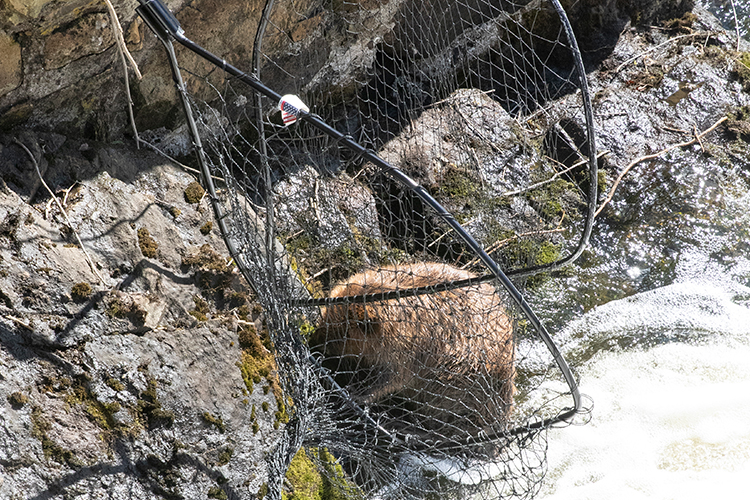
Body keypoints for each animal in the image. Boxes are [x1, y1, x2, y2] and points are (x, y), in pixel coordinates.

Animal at [312, 262, 516, 446]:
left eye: (342, 335)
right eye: (324, 315)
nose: (314, 341)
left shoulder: (409, 354)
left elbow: (389, 380)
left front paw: (354, 394)